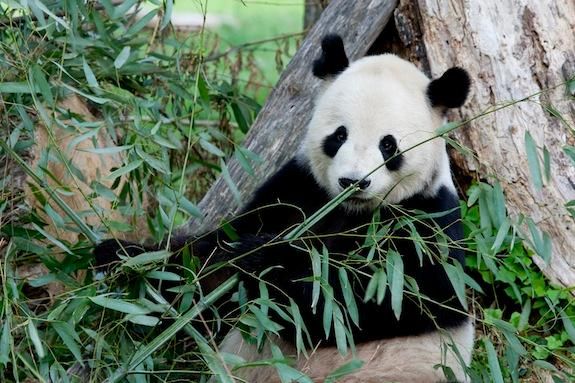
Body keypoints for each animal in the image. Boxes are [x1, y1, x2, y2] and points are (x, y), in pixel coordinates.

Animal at [93, 34, 472, 382]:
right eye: (339, 136)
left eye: (388, 145)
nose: (353, 181)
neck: (350, 210)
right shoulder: (297, 189)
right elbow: (208, 263)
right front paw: (123, 259)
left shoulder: (427, 218)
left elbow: (400, 298)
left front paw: (266, 261)